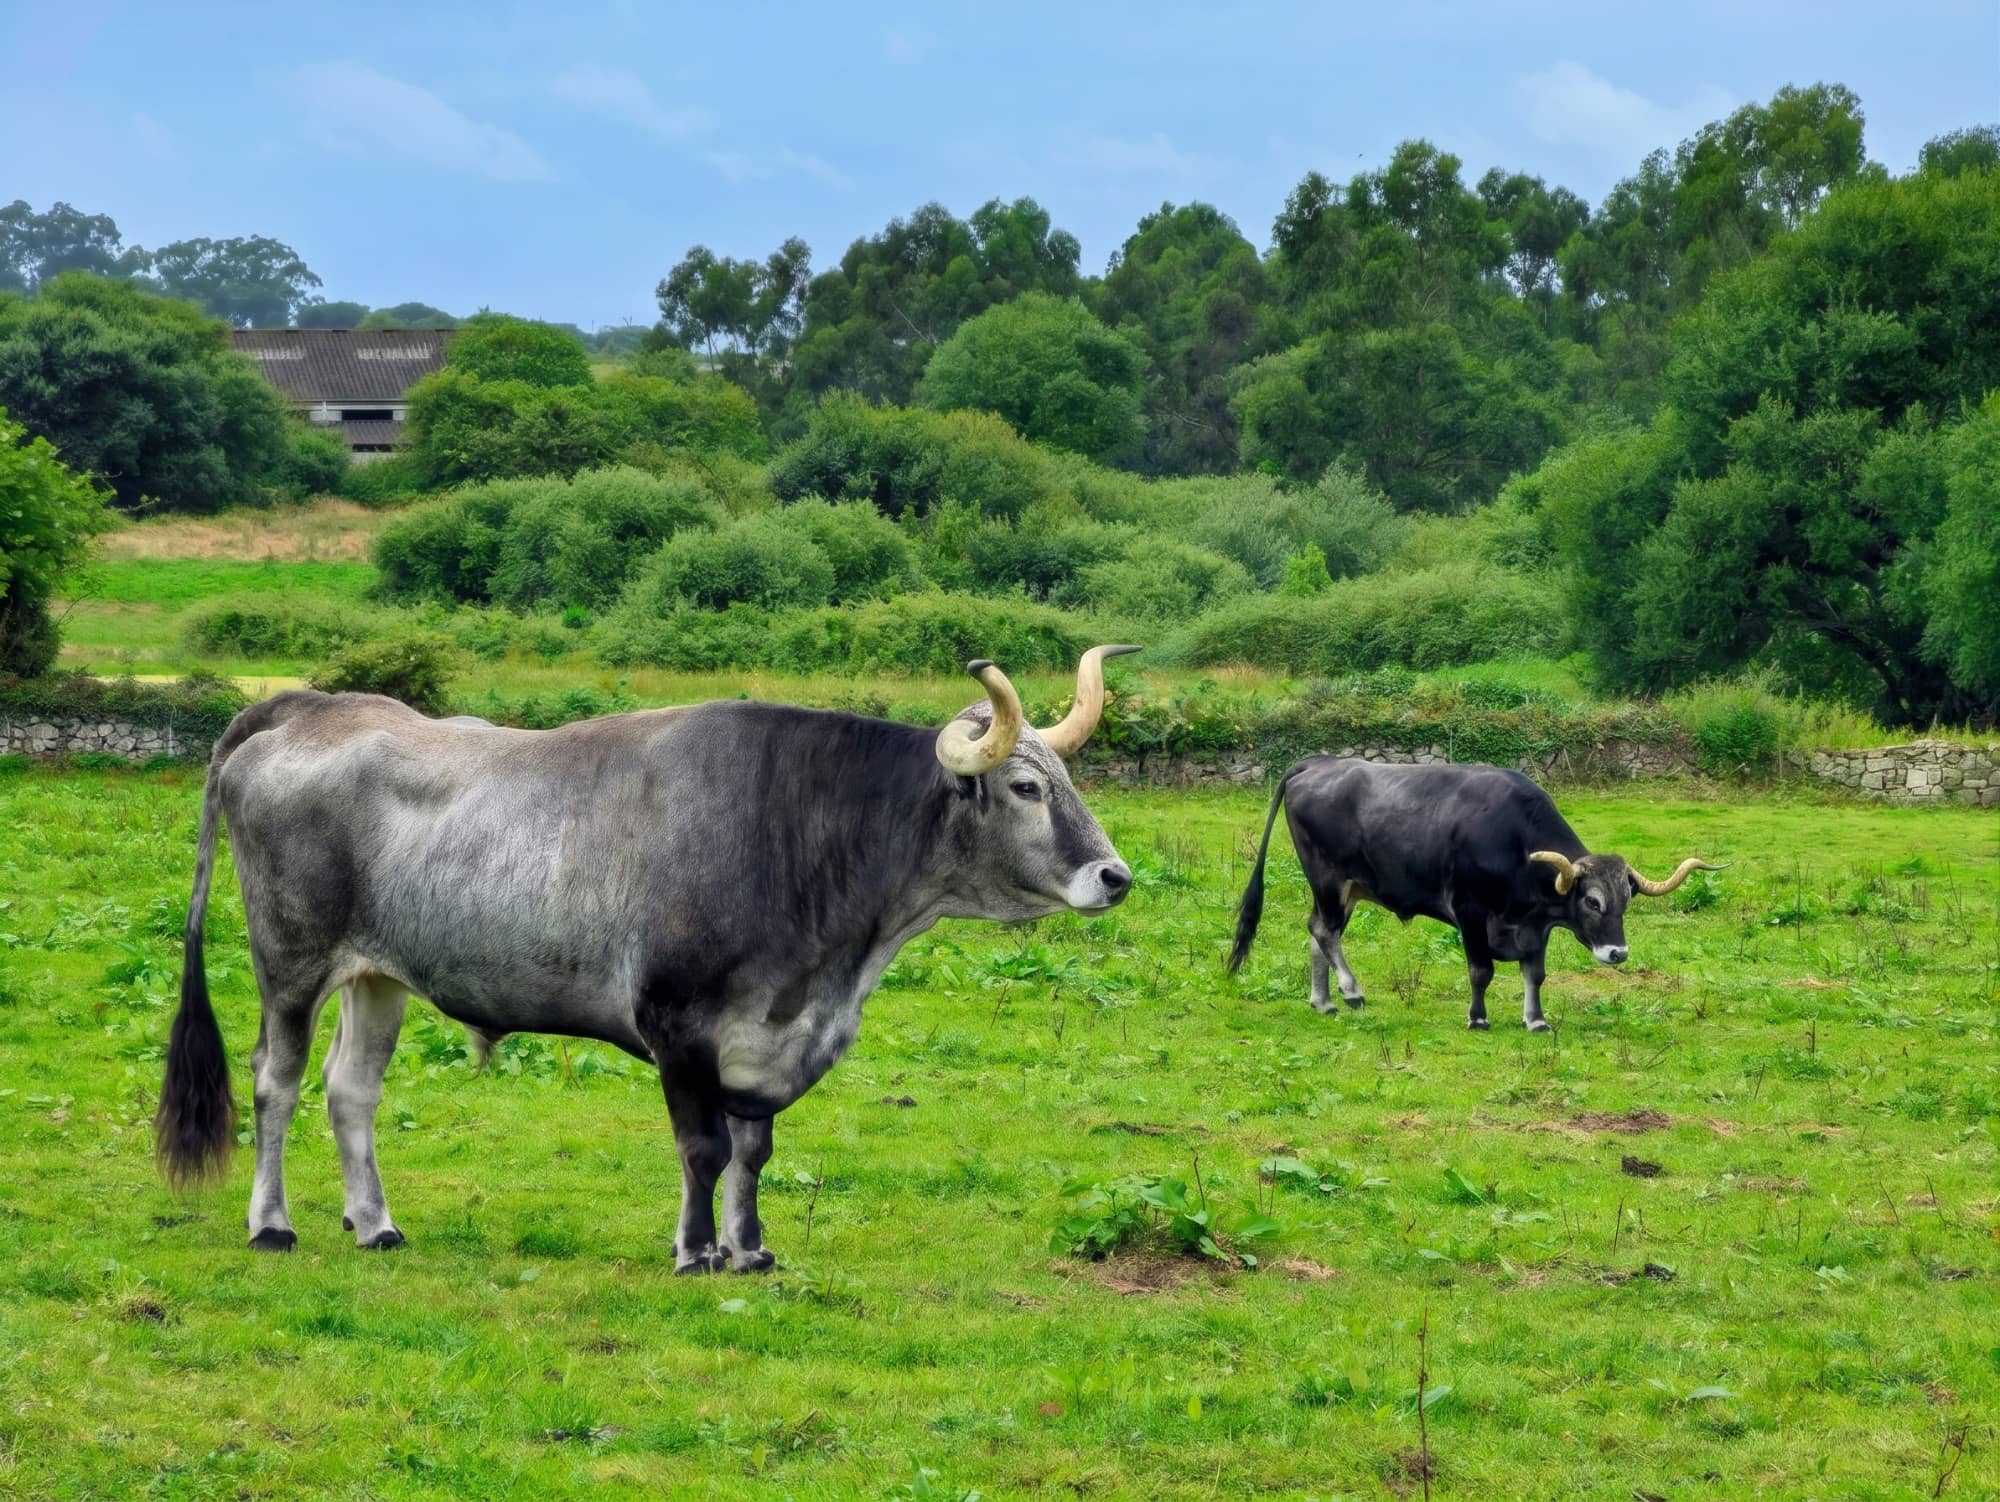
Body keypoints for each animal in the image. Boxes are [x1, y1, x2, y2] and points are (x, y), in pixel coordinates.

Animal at [155, 647, 1139, 1272]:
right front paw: (697, 1250)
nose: (1116, 876)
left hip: (377, 977)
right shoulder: (679, 1024)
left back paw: (376, 1225)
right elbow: (703, 1147)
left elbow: (752, 1150)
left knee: (351, 1090)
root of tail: (310, 706)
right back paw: (272, 1225)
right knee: (275, 1081)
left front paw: (749, 1248)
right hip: (290, 962)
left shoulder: (759, 1037)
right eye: (1025, 786)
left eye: (1070, 781)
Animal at [1227, 759, 1723, 1032]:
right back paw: (1350, 992)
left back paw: (1323, 1000)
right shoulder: (1469, 914)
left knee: (1317, 933)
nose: (1617, 953)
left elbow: (1534, 974)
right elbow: (1481, 971)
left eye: (1626, 900)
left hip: (1345, 889)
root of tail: (1318, 762)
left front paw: (1535, 1019)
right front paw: (1478, 1017)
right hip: (1329, 880)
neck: (1512, 838)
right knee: (1326, 933)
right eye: (1592, 901)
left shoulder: (1536, 927)